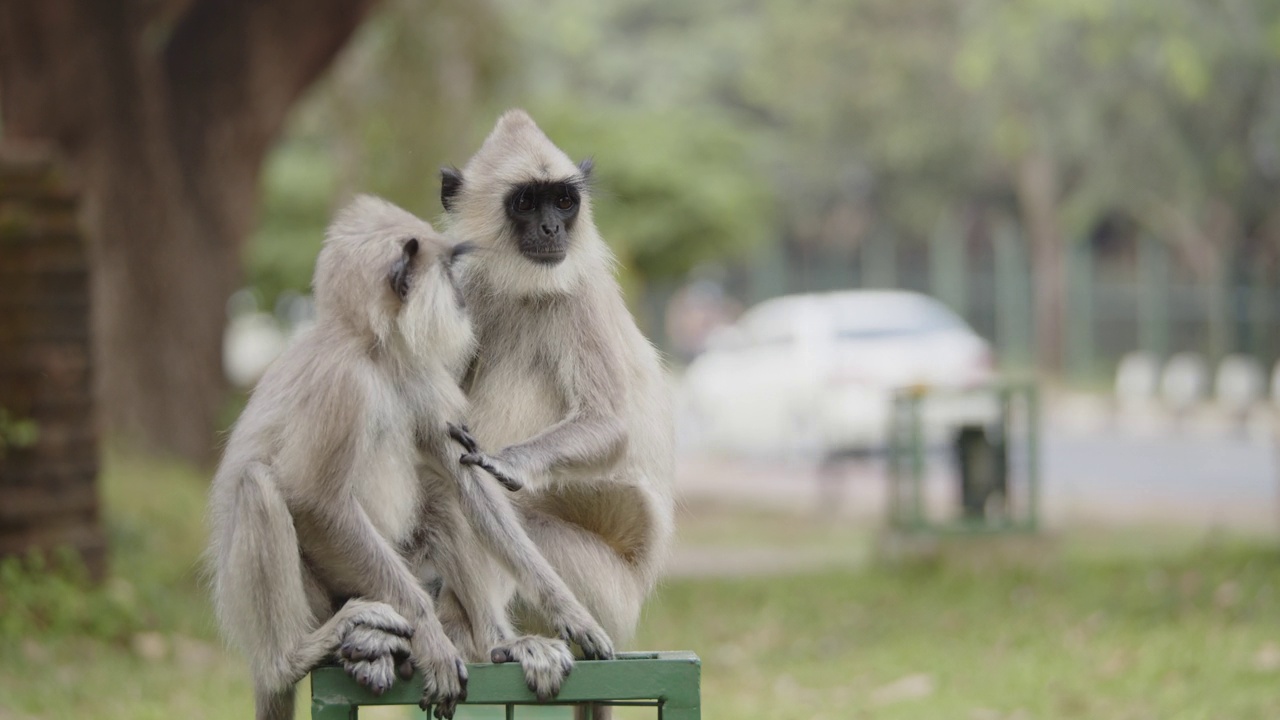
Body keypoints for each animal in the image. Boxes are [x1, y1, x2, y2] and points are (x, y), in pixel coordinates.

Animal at [207, 194, 611, 717]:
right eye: (448, 272)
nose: (462, 296)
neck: (373, 351)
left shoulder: (416, 371)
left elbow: (466, 477)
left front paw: (569, 610)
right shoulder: (344, 383)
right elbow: (315, 501)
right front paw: (433, 644)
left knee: (444, 491)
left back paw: (495, 645)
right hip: (315, 597)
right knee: (257, 485)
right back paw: (295, 657)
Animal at [440, 110, 680, 702]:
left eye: (563, 202)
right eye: (527, 202)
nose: (552, 230)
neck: (514, 286)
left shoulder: (576, 296)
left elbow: (610, 426)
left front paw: (503, 463)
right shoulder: (460, 290)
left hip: (606, 586)